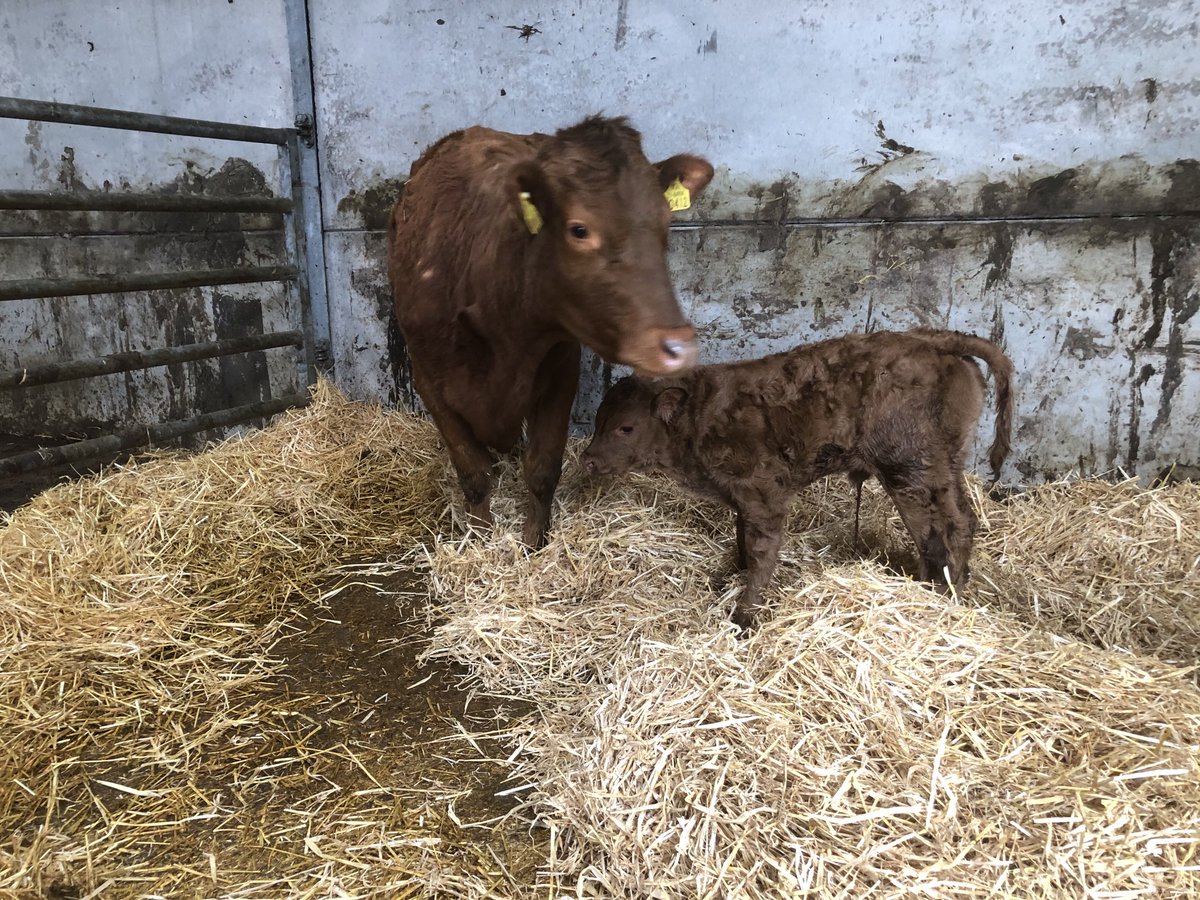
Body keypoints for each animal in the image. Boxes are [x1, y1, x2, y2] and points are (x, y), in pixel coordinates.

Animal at [387, 116, 713, 547]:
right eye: (579, 229)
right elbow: (473, 473)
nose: (678, 346)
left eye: (665, 222)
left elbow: (542, 469)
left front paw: (533, 543)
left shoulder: (560, 371)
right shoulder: (429, 380)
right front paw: (480, 538)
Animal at [581, 329, 1015, 630]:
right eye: (599, 419)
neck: (698, 419)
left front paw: (744, 617)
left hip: (911, 469)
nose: (587, 459)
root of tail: (934, 339)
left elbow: (761, 552)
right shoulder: (742, 499)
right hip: (942, 467)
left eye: (625, 427)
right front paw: (731, 577)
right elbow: (742, 541)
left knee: (947, 525)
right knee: (957, 520)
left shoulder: (764, 495)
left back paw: (944, 590)